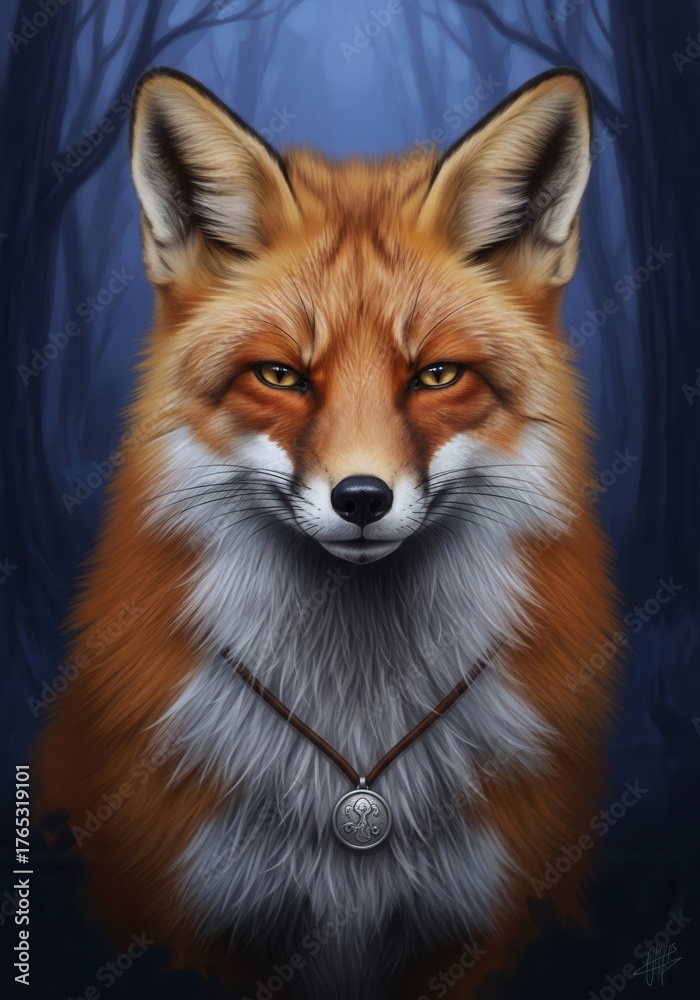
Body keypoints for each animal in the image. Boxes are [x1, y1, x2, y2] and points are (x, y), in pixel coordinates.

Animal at [36, 67, 618, 999]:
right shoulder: (197, 917)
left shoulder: (479, 924)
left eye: (436, 376)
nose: (362, 499)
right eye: (281, 375)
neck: (356, 730)